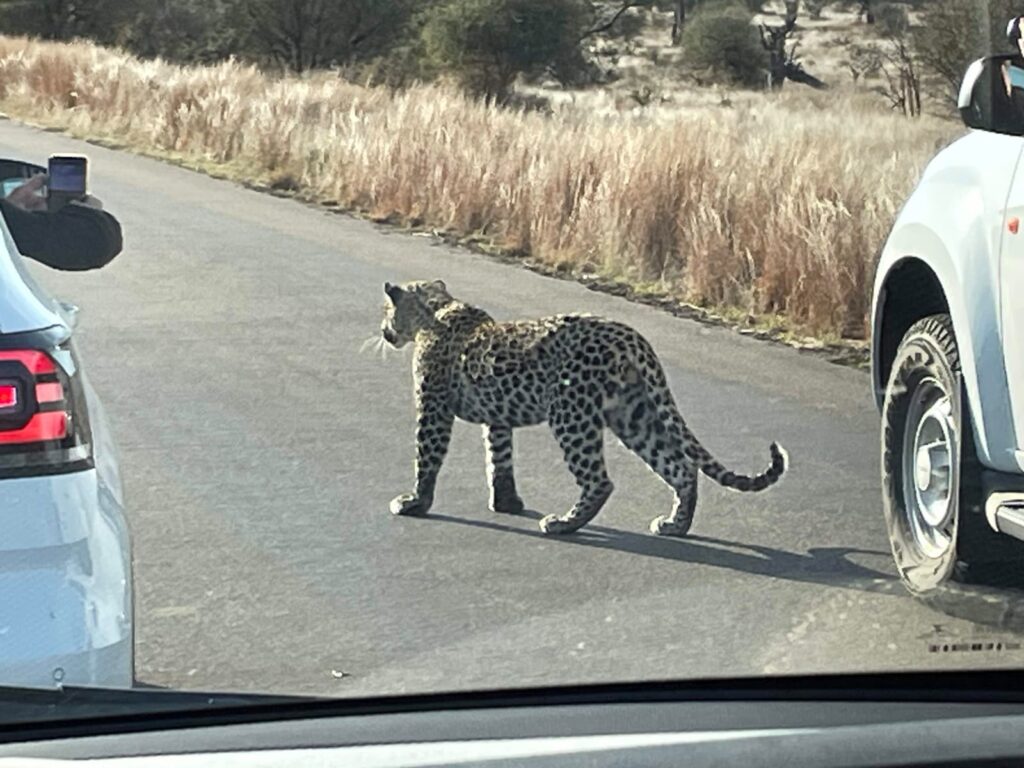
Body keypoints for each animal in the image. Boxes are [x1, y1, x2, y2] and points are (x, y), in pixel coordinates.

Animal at [380, 280, 786, 536]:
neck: (437, 310)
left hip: (571, 414)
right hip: (634, 414)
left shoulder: (433, 408)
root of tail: (630, 336)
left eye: (386, 310)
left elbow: (427, 455)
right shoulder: (497, 417)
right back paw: (675, 526)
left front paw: (416, 502)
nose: (384, 330)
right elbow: (500, 457)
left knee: (600, 480)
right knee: (681, 467)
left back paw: (563, 524)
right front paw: (507, 502)